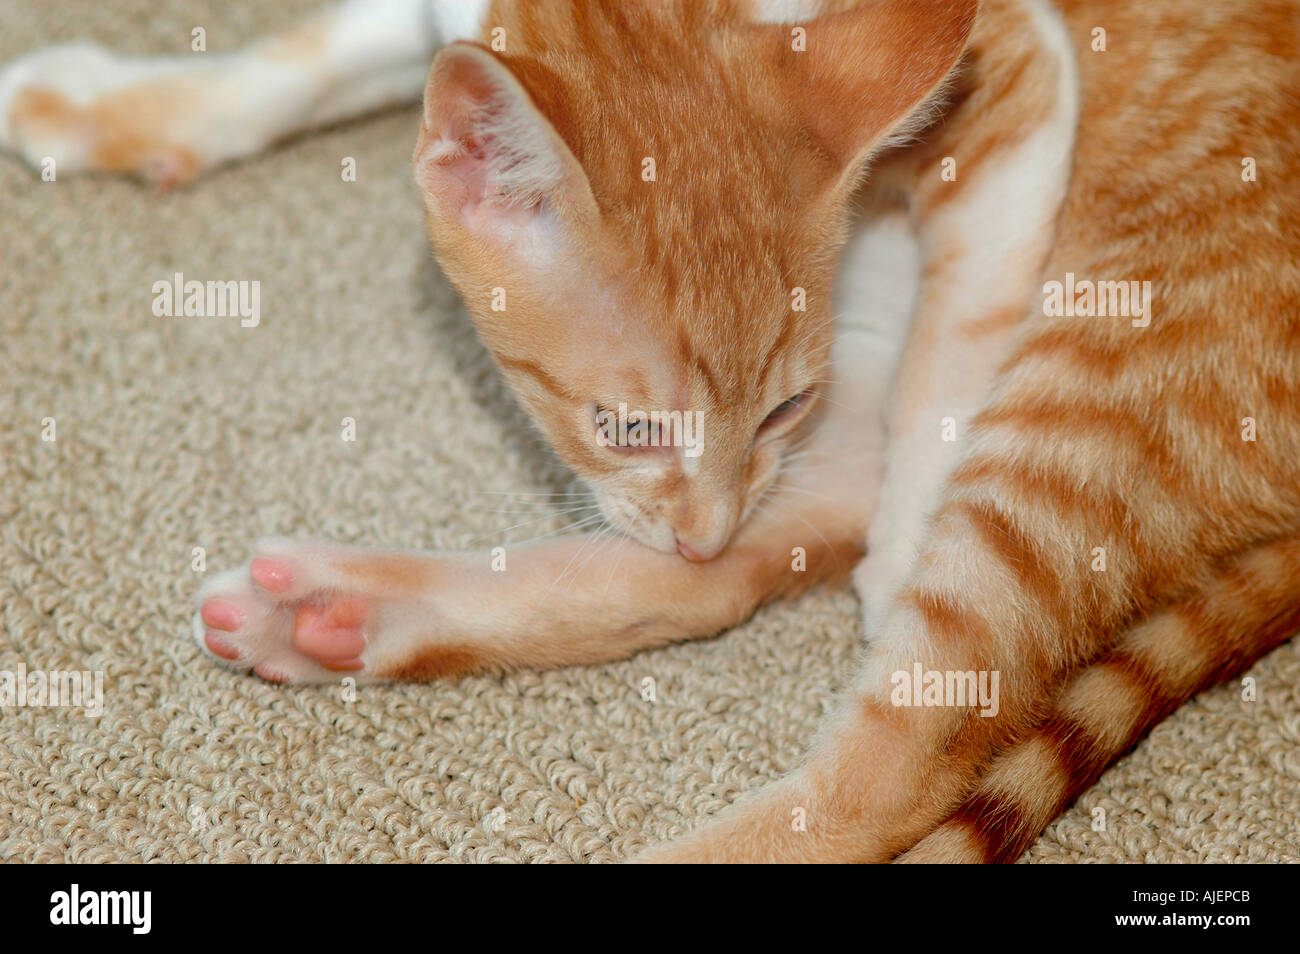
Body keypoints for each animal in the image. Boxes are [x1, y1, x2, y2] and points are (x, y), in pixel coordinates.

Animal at [5, 1, 1294, 868]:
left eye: (778, 406)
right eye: (626, 426)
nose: (705, 521)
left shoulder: (1020, 72)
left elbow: (965, 315)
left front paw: (902, 534)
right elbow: (327, 53)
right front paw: (136, 105)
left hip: (1097, 389)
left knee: (890, 766)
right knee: (745, 569)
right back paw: (346, 611)